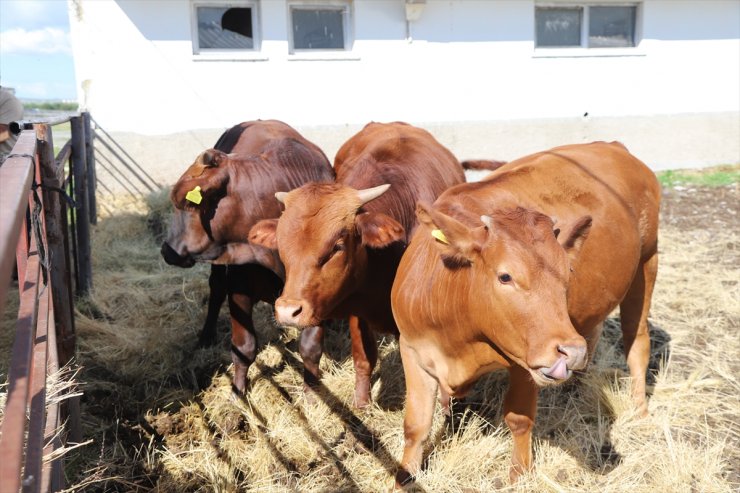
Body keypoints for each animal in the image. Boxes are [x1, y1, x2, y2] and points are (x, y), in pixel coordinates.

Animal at [163, 121, 336, 394]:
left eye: (185, 204)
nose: (166, 250)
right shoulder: (239, 287)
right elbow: (244, 347)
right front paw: (238, 393)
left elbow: (311, 348)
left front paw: (312, 395)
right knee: (216, 291)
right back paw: (206, 336)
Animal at [251, 121, 466, 406]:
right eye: (282, 244)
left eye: (337, 246)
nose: (288, 311)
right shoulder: (358, 310)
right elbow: (364, 358)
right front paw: (362, 404)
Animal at [390, 140, 660, 486]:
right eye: (505, 276)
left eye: (567, 273)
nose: (570, 352)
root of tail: (611, 146)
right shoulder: (412, 347)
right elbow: (416, 424)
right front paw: (404, 477)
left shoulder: (524, 362)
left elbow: (519, 419)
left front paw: (519, 475)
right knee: (594, 329)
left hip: (648, 260)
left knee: (637, 341)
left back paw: (640, 411)